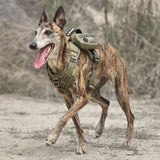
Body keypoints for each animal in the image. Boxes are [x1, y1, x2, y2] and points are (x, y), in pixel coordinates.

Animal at [29, 5, 134, 154]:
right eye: (35, 32)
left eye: (48, 32)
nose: (32, 45)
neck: (61, 61)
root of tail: (115, 51)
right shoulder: (69, 98)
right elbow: (75, 122)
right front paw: (82, 145)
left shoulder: (81, 98)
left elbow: (63, 118)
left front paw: (53, 137)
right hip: (91, 93)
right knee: (106, 103)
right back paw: (99, 129)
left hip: (120, 91)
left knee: (130, 116)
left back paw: (127, 140)